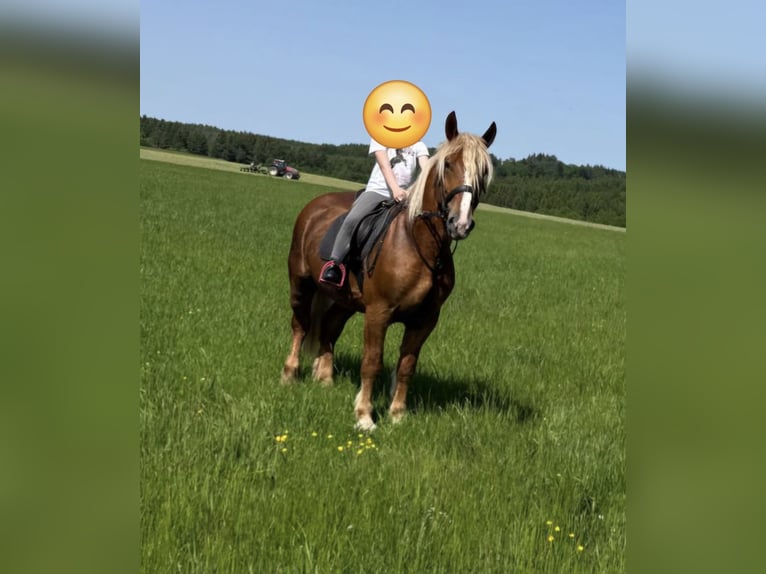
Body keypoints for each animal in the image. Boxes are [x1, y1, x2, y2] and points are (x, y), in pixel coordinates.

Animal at [281, 111, 496, 430]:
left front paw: (397, 415)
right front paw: (365, 417)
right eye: (448, 164)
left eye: (483, 172)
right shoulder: (378, 312)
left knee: (329, 327)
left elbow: (407, 365)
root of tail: (315, 205)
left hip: (346, 301)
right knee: (301, 325)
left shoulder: (425, 320)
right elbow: (372, 361)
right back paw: (290, 374)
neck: (419, 244)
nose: (460, 224)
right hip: (301, 283)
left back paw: (325, 377)